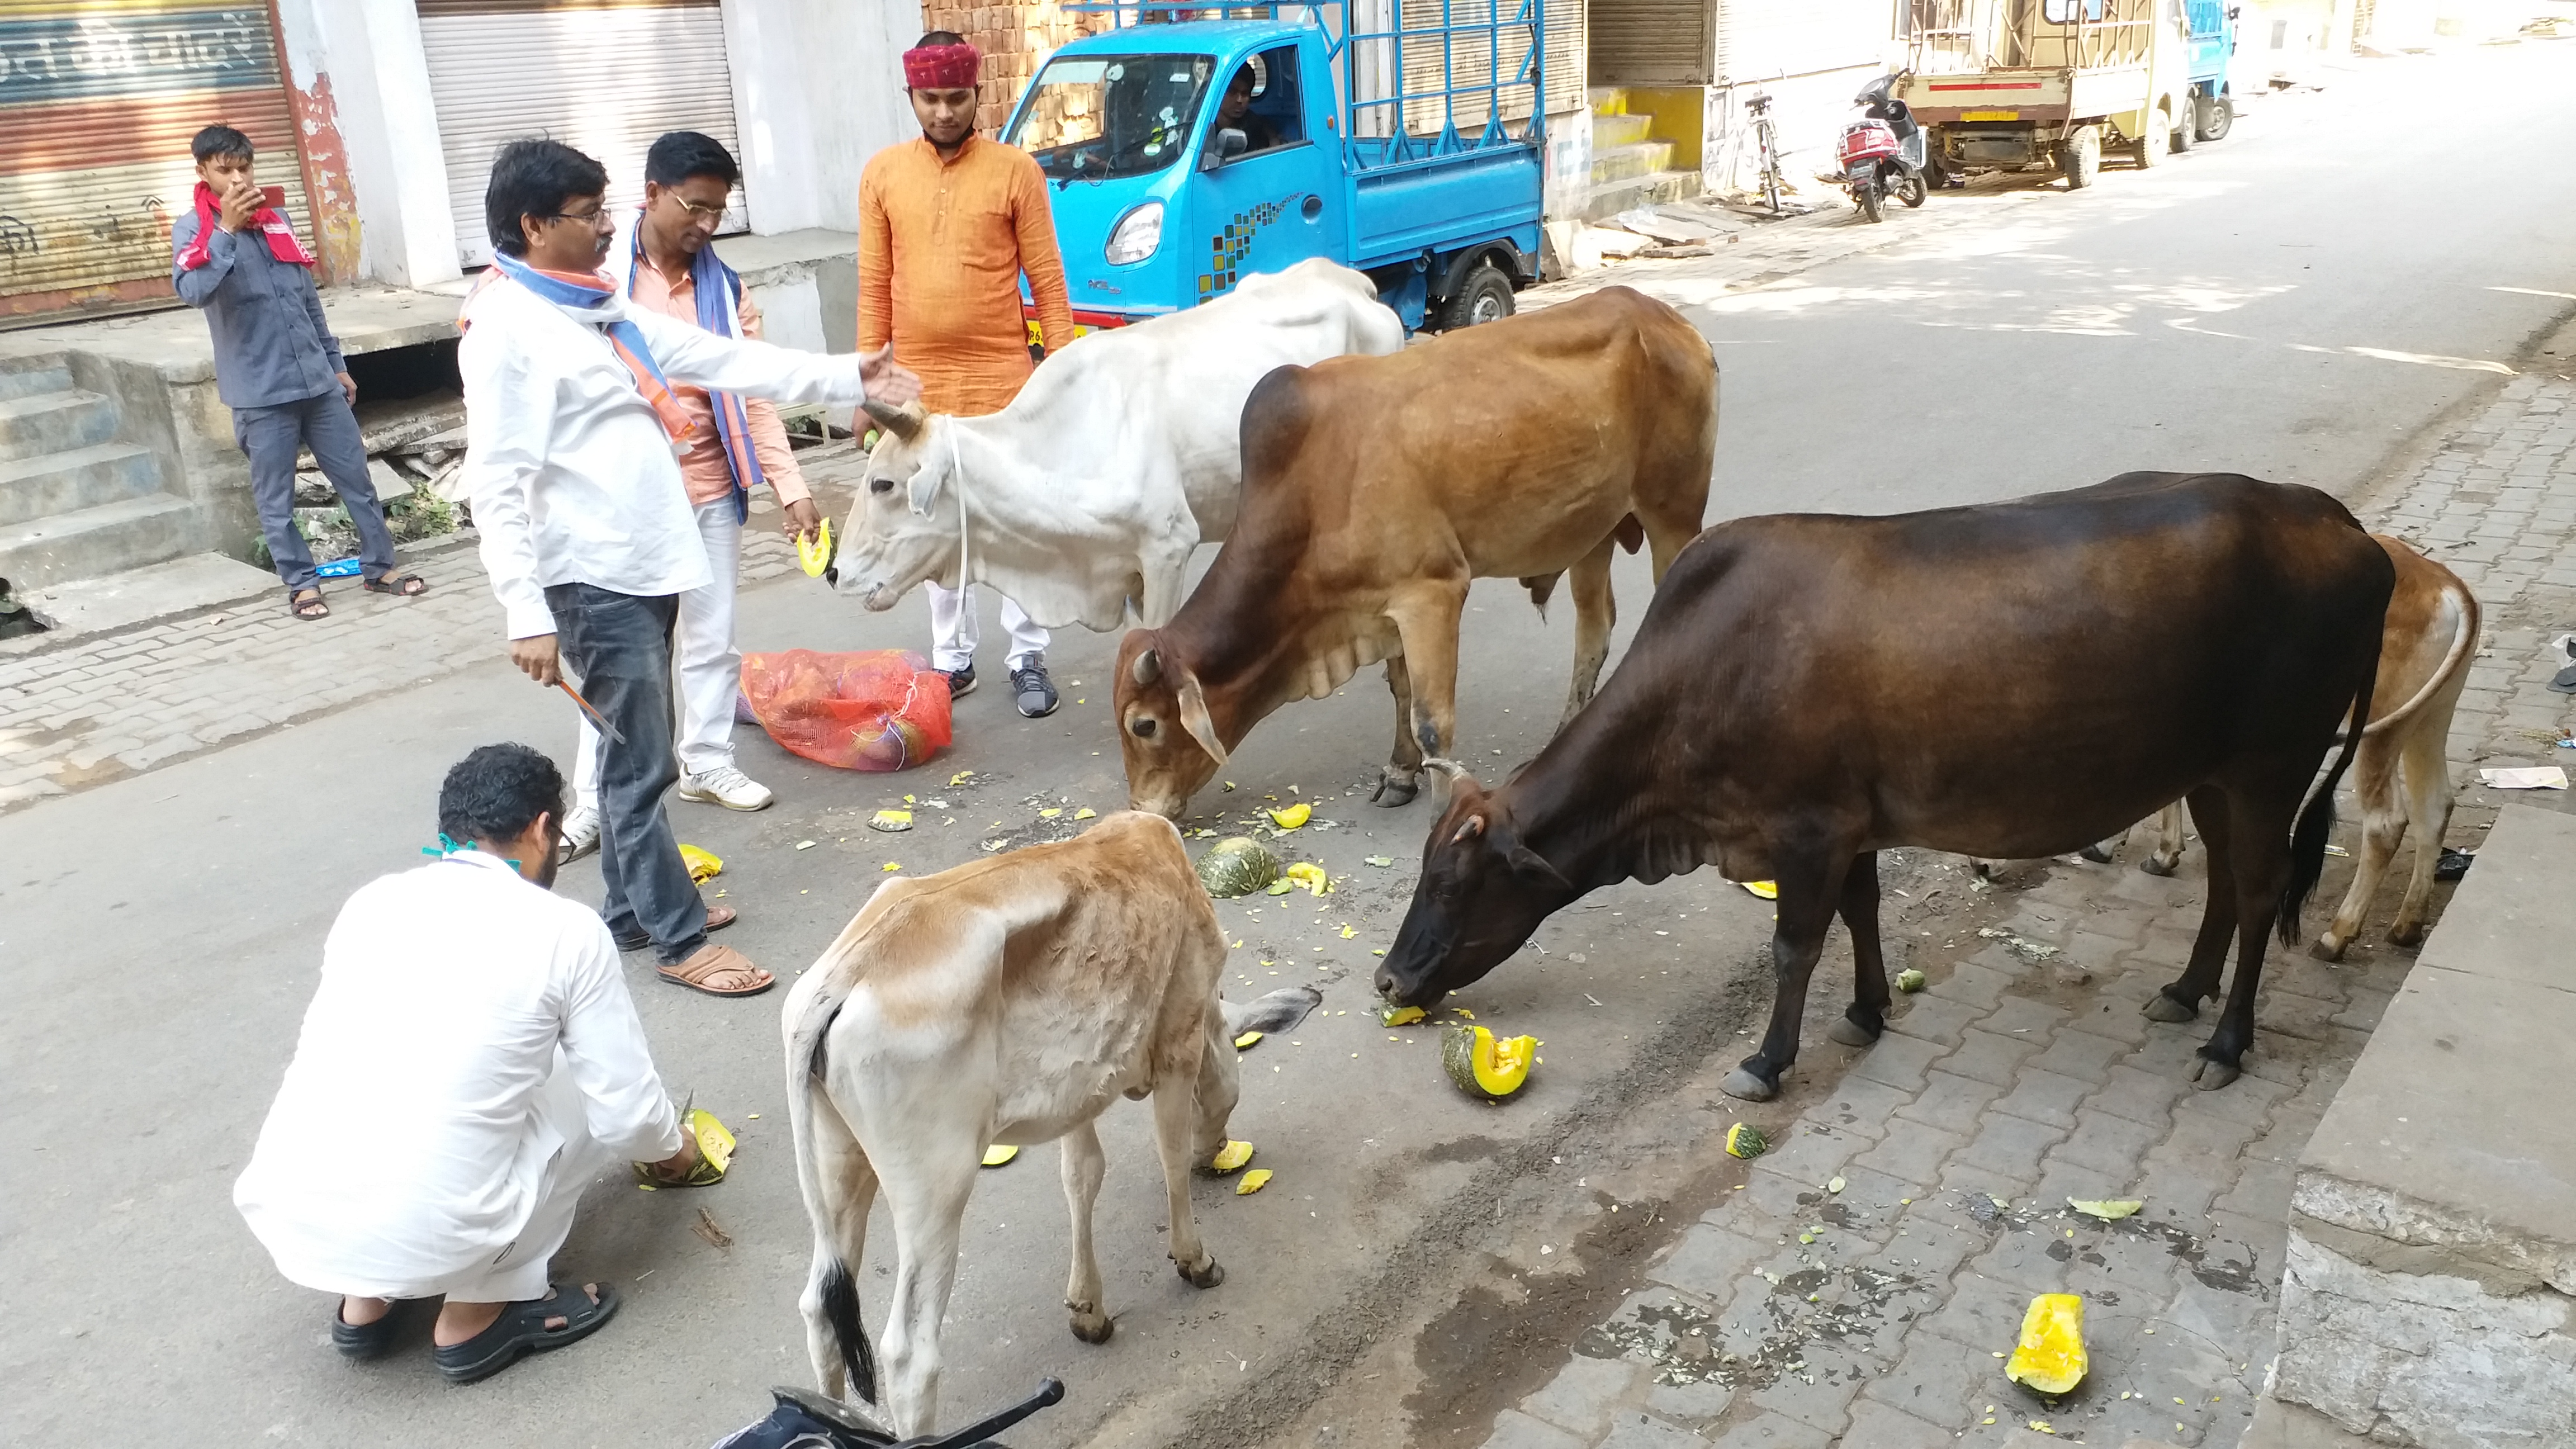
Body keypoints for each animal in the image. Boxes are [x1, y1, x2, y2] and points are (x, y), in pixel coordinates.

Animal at [778, 815, 1308, 1433]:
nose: (1218, 1151)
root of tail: (843, 976)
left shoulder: (1080, 1085)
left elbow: (1082, 1176)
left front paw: (1089, 1311)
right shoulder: (1178, 1041)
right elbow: (1170, 1156)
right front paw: (1194, 1260)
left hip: (841, 1164)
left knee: (820, 1311)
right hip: (937, 1188)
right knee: (910, 1356)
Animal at [1107, 287, 1710, 820]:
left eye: (1145, 725)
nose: (1143, 809)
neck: (1313, 491)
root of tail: (1671, 322)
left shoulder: (1432, 594)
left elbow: (1431, 717)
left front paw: (1443, 805)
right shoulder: (1384, 608)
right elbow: (1400, 693)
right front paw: (1400, 774)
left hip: (1674, 515)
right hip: (1593, 532)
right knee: (1594, 629)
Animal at [1370, 474, 2390, 1093]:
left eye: (1451, 883)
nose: (1387, 978)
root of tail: (2345, 527)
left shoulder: (1807, 828)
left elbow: (1793, 946)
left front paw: (1767, 1060)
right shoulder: (1848, 823)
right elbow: (1860, 913)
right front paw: (1865, 1011)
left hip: (2271, 764)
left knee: (2259, 890)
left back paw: (2227, 1040)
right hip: (2213, 775)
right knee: (2225, 884)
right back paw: (2184, 991)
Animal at [2112, 536, 2473, 954]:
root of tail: (2447, 589)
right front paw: (2163, 852)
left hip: (2379, 728)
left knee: (2386, 824)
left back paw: (2337, 935)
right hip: (2430, 719)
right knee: (2435, 808)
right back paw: (2406, 926)